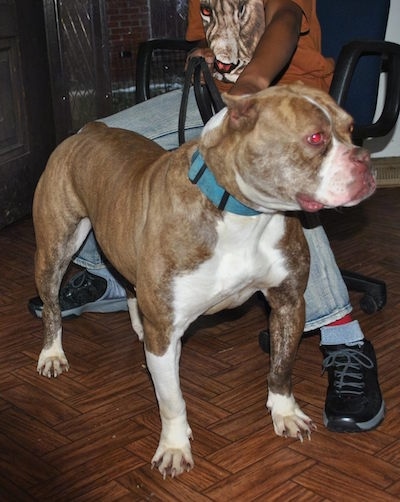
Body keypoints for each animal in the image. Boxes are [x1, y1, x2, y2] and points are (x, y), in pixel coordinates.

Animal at [33, 84, 376, 476]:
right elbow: (172, 400)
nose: (365, 158)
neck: (242, 214)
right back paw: (52, 353)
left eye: (351, 128)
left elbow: (281, 367)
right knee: (52, 306)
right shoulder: (166, 332)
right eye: (315, 138)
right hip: (55, 250)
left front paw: (285, 412)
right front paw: (174, 447)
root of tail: (91, 129)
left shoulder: (288, 303)